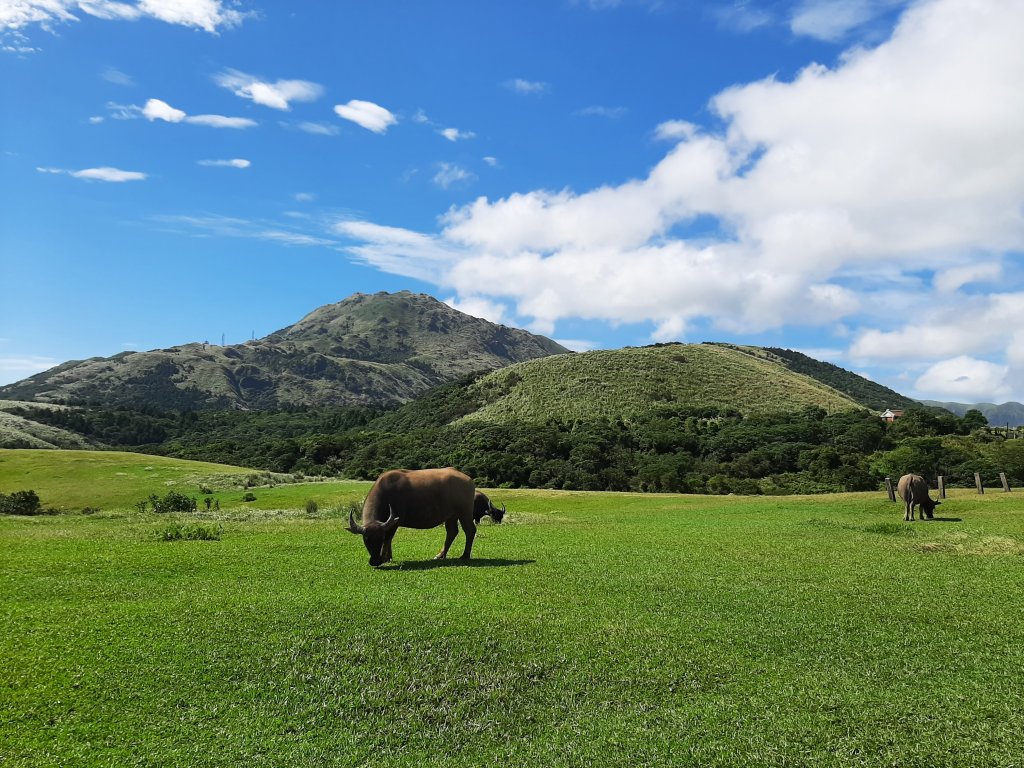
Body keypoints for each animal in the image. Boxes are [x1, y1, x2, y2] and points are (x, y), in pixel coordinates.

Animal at [346, 466, 477, 569]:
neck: (387, 492)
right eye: (366, 540)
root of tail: (468, 480)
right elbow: (389, 539)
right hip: (451, 516)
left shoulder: (395, 522)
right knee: (452, 531)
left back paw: (465, 555)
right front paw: (388, 557)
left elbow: (389, 538)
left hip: (464, 513)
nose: (374, 561)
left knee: (470, 530)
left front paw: (385, 557)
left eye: (380, 539)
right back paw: (440, 555)